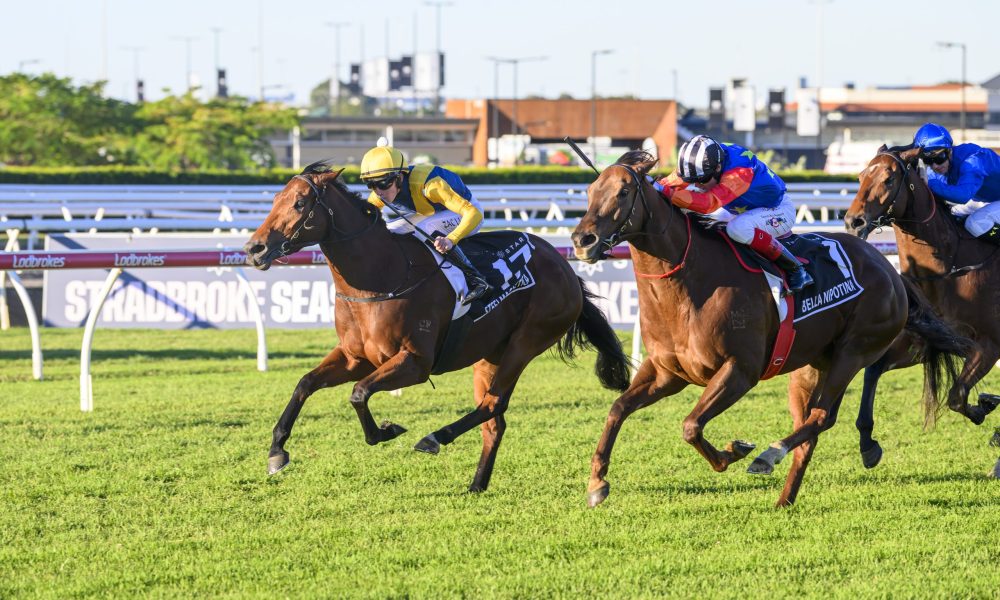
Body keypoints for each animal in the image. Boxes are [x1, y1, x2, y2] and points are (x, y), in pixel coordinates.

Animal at [243, 161, 631, 493]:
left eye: (299, 203)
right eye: (276, 200)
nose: (254, 248)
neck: (380, 275)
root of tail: (564, 267)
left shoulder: (415, 362)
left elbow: (359, 393)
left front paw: (385, 431)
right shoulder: (356, 357)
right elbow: (305, 384)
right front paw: (277, 451)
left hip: (525, 343)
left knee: (493, 405)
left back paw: (434, 439)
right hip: (489, 354)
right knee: (494, 420)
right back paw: (476, 484)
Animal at [570, 150, 969, 507]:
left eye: (623, 192)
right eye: (590, 191)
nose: (581, 241)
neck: (689, 286)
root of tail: (890, 271)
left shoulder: (739, 371)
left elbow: (691, 425)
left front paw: (734, 451)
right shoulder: (667, 372)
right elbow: (617, 409)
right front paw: (597, 483)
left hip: (853, 351)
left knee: (822, 416)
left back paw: (771, 454)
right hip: (811, 366)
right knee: (812, 426)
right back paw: (785, 498)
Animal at [844, 145, 1000, 466]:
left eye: (889, 179)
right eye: (862, 175)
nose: (854, 222)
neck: (950, 269)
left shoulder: (988, 345)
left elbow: (957, 396)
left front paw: (984, 408)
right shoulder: (924, 341)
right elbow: (873, 369)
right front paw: (867, 444)